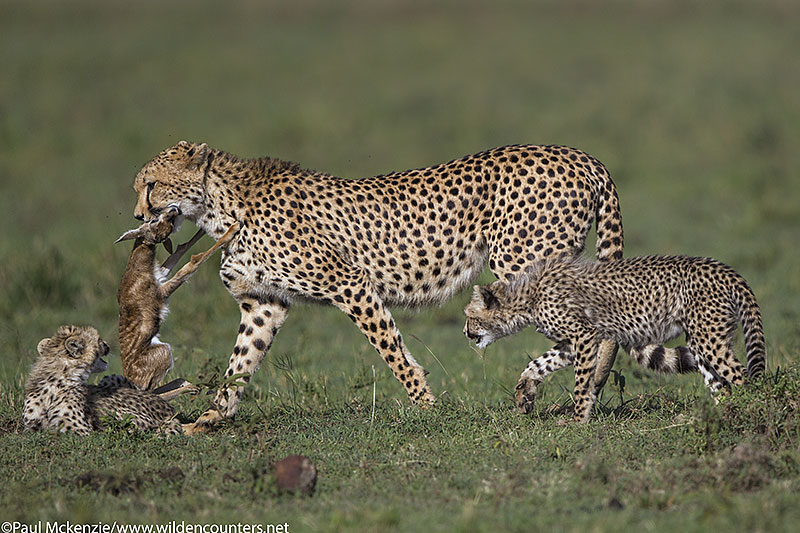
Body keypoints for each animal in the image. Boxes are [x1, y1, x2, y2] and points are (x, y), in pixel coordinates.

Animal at [131, 141, 620, 432]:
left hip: (524, 263)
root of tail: (580, 155)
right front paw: (207, 420)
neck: (221, 208)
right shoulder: (264, 304)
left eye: (151, 185)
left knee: (591, 330)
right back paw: (536, 386)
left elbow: (392, 352)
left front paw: (426, 406)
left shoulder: (349, 283)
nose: (137, 217)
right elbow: (240, 364)